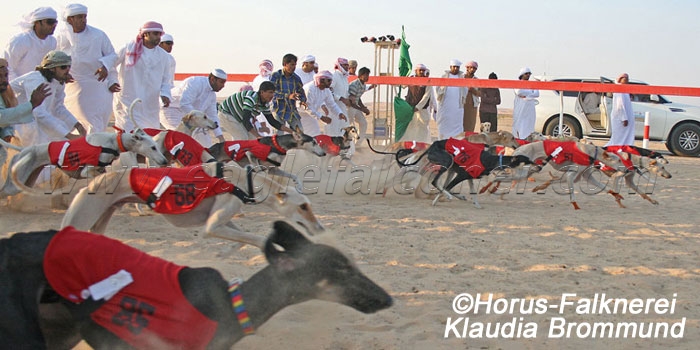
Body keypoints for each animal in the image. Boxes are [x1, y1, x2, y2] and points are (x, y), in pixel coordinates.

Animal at [61, 161, 324, 246]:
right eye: (303, 206)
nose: (320, 229)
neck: (244, 181)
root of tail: (90, 184)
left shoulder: (219, 221)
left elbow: (240, 239)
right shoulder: (213, 226)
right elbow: (257, 239)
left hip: (100, 221)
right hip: (80, 218)